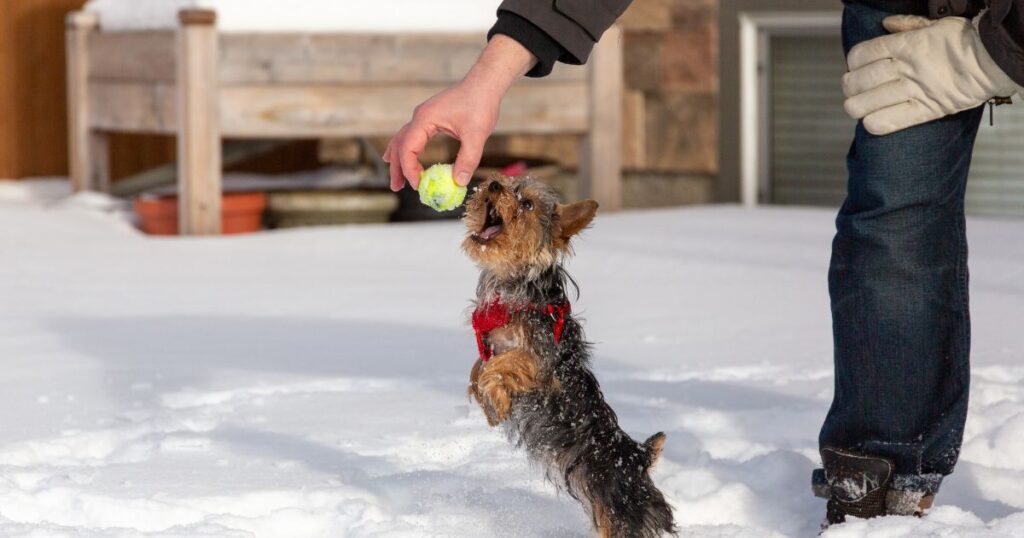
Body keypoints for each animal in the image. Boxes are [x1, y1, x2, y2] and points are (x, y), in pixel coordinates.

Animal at [462, 176, 671, 536]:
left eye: (527, 204)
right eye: (506, 184)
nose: (492, 183)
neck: (514, 284)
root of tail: (639, 459)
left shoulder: (542, 359)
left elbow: (501, 365)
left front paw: (498, 402)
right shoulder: (491, 344)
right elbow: (478, 369)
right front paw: (489, 407)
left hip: (620, 517)